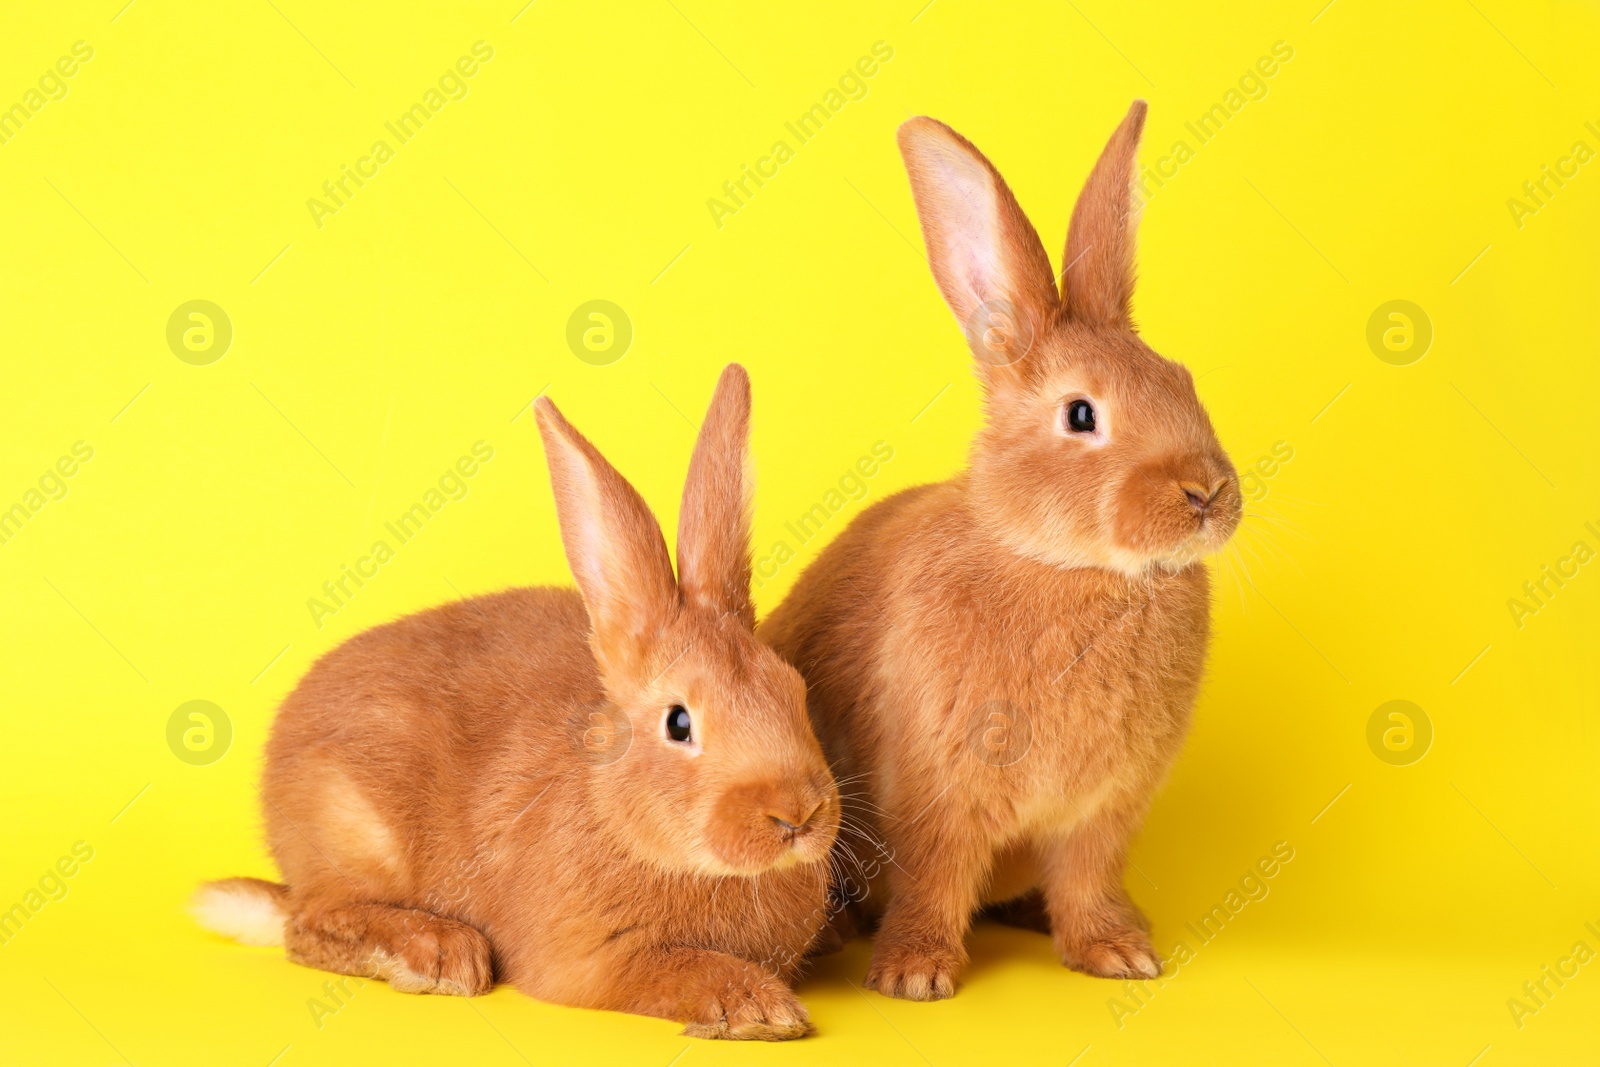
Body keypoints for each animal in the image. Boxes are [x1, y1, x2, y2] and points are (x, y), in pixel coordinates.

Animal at [193, 367, 844, 1043]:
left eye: (793, 691)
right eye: (679, 722)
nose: (798, 814)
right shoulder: (590, 961)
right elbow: (674, 969)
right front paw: (758, 1010)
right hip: (354, 828)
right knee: (309, 922)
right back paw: (437, 954)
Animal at [755, 99, 1241, 1004]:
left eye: (1182, 380)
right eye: (1081, 414)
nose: (1208, 494)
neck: (1062, 563)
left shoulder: (1103, 812)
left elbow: (1088, 878)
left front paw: (1118, 953)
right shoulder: (936, 795)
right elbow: (935, 878)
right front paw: (914, 974)